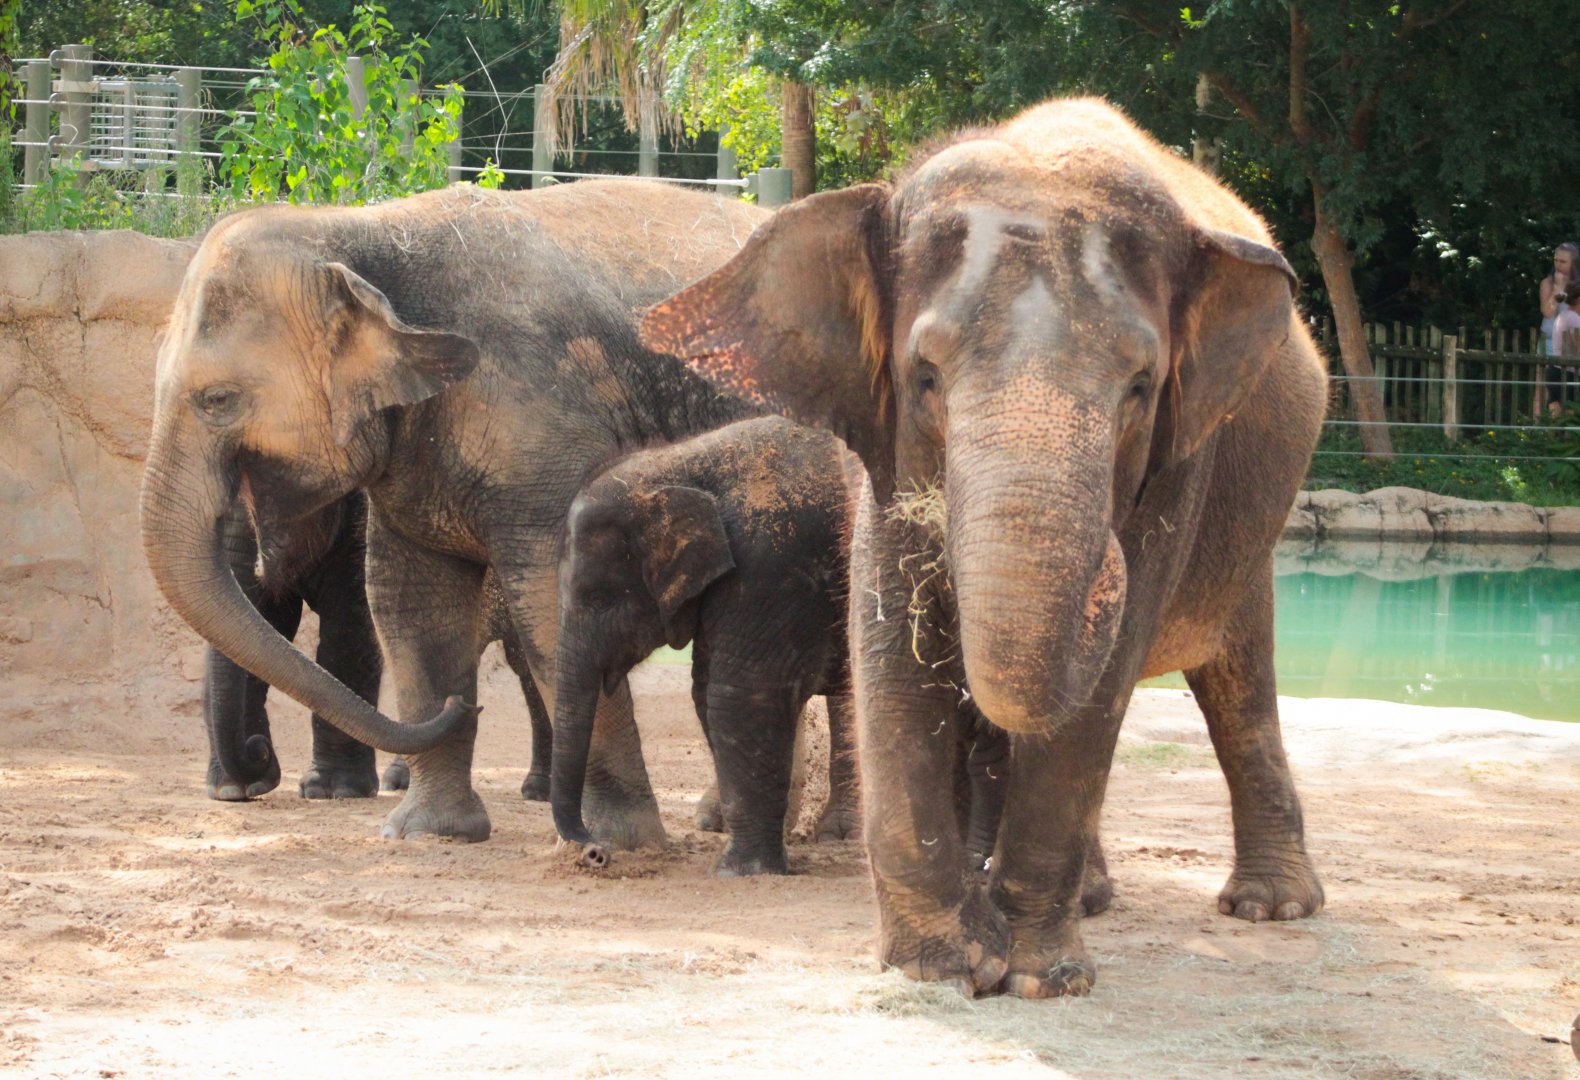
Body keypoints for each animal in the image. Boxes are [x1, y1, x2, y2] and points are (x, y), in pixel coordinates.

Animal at [205, 490, 556, 803]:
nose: (258, 750)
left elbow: (349, 629)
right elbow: (270, 620)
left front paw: (335, 790)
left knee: (525, 661)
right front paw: (235, 790)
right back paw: (401, 781)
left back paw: (539, 791)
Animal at [549, 416, 862, 876]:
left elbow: (741, 693)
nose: (595, 851)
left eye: (599, 597)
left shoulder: (769, 566)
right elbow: (705, 690)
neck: (678, 461)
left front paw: (742, 871)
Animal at [643, 98, 1327, 998]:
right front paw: (944, 967)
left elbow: (1100, 689)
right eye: (926, 376)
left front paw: (1039, 979)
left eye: (1141, 387)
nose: (1103, 570)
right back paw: (1085, 897)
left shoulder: (1183, 462)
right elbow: (892, 645)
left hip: (1251, 538)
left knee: (1238, 683)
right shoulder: (877, 447)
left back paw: (1268, 908)